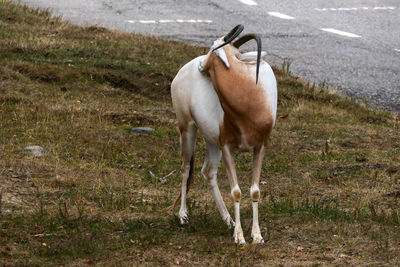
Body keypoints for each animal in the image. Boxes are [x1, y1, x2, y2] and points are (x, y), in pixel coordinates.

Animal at [171, 25, 278, 245]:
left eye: (213, 47)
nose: (201, 65)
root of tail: (181, 71)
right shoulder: (228, 146)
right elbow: (236, 191)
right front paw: (239, 237)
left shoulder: (260, 146)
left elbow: (255, 190)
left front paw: (257, 236)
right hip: (187, 128)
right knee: (186, 167)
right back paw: (183, 216)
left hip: (212, 141)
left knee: (208, 171)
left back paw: (228, 220)